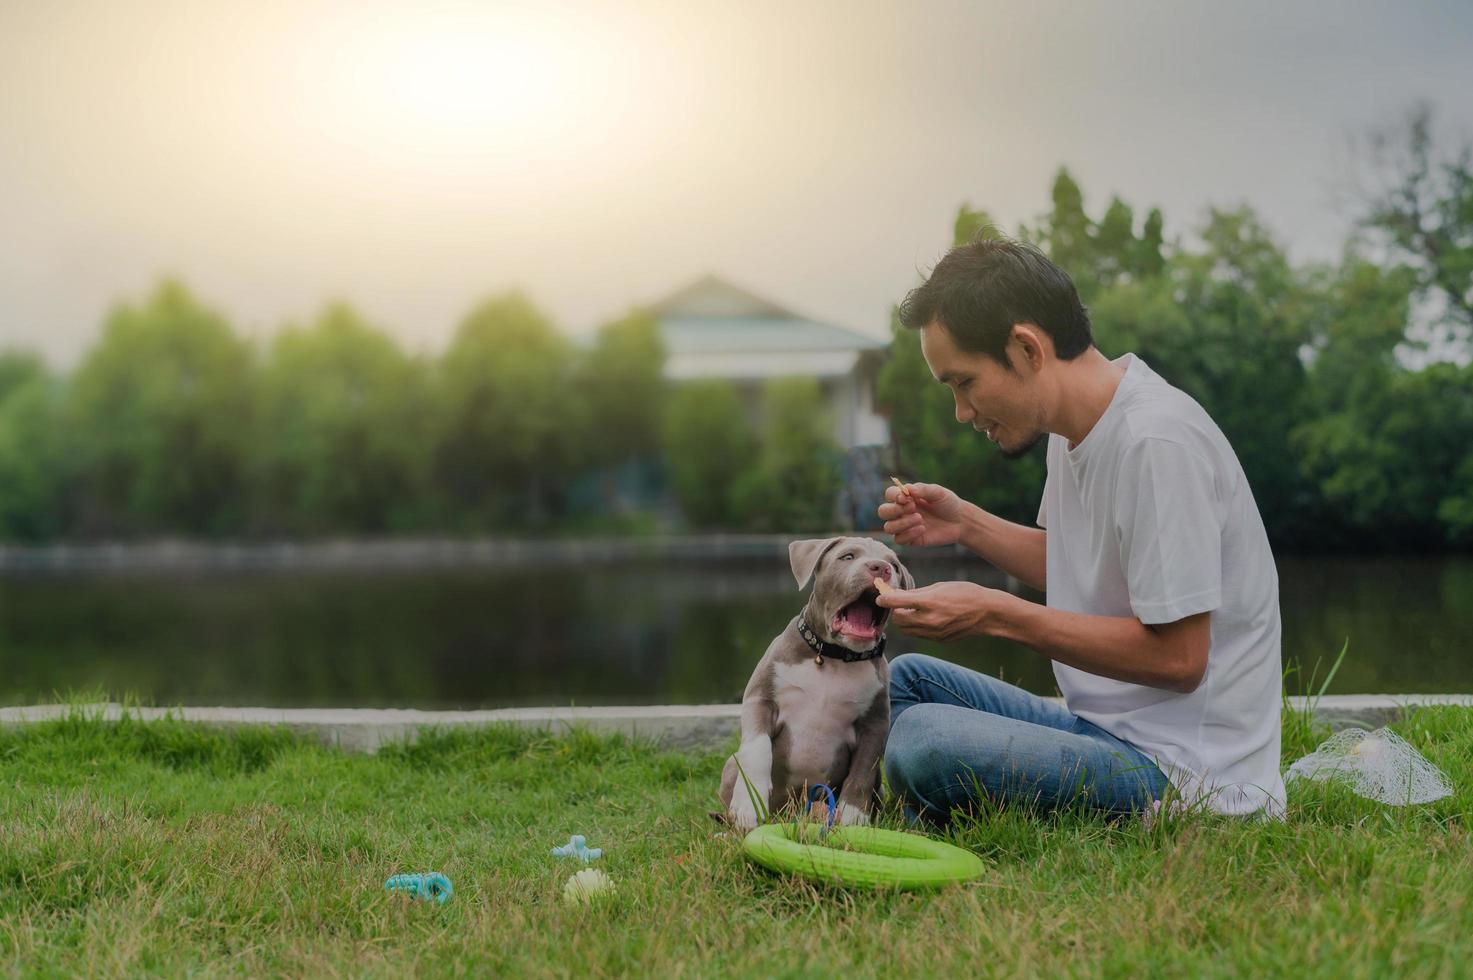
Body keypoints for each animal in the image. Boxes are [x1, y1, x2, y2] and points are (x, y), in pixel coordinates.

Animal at [721, 536, 913, 825]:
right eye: (847, 557)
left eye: (895, 565)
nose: (881, 567)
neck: (833, 657)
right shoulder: (761, 698)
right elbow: (758, 749)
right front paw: (748, 805)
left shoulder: (875, 724)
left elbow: (862, 772)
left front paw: (853, 818)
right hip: (732, 764)